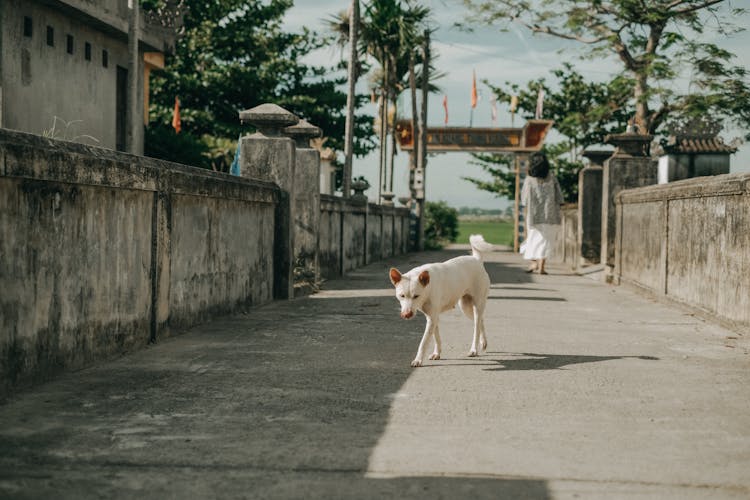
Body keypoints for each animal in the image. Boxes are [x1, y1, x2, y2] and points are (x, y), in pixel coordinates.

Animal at [390, 234, 496, 368]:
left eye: (416, 296)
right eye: (402, 296)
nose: (406, 314)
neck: (428, 289)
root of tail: (476, 260)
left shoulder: (432, 318)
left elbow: (423, 342)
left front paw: (418, 360)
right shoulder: (432, 317)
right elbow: (436, 337)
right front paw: (437, 353)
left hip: (477, 304)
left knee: (476, 327)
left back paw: (474, 349)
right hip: (465, 307)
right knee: (481, 320)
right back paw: (484, 342)